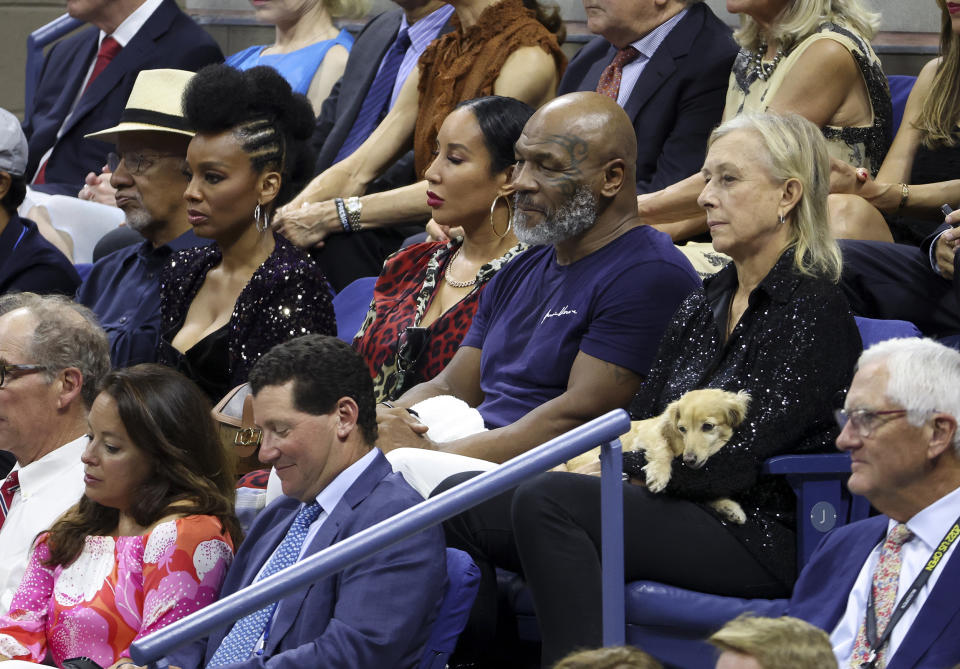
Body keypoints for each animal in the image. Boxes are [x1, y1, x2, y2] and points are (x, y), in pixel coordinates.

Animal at [564, 388, 752, 524]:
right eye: (682, 429)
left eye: (708, 426)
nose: (689, 460)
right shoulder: (650, 436)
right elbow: (662, 449)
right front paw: (659, 474)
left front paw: (729, 506)